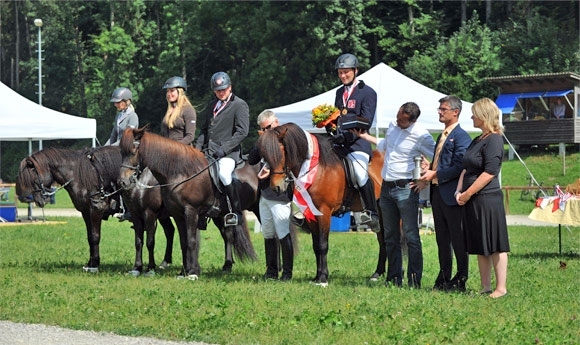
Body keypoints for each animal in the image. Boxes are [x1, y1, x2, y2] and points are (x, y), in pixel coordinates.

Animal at [255, 122, 386, 284]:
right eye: (264, 155)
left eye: (281, 154)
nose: (276, 187)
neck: (317, 169)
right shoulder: (311, 213)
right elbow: (316, 245)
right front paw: (317, 276)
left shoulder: (324, 212)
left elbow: (323, 244)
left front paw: (323, 278)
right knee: (383, 241)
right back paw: (377, 274)